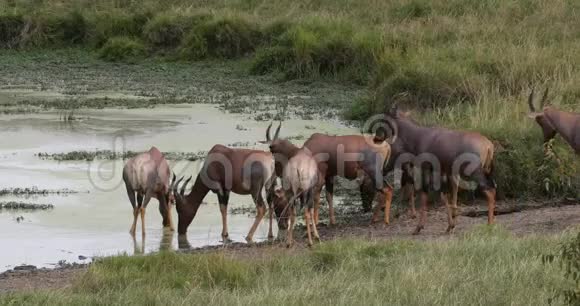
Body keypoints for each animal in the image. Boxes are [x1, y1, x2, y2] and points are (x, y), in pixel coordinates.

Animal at [262, 120, 398, 226]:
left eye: (272, 150)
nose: (278, 172)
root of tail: (385, 144)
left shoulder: (320, 176)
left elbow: (316, 197)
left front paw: (315, 222)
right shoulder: (330, 176)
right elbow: (329, 196)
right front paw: (332, 222)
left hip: (373, 171)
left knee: (387, 189)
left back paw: (385, 220)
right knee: (383, 190)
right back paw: (374, 219)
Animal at [382, 105, 496, 234]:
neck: (421, 136)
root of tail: (488, 145)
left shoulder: (426, 169)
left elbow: (425, 194)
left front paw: (418, 227)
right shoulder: (442, 172)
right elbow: (446, 196)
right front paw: (450, 226)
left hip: (474, 173)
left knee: (490, 190)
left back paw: (489, 224)